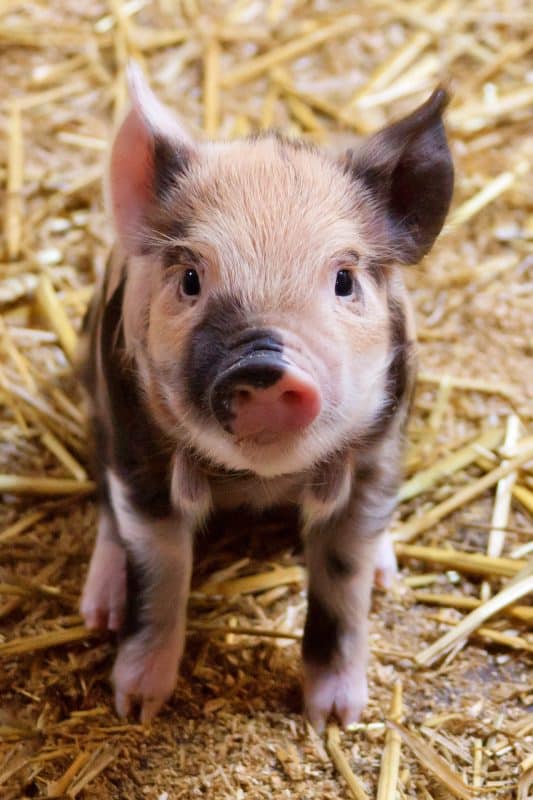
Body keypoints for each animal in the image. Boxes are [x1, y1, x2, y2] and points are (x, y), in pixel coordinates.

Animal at [79, 65, 453, 729]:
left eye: (344, 281)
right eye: (191, 279)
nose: (263, 366)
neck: (260, 481)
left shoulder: (379, 453)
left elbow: (344, 578)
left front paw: (336, 718)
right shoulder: (136, 447)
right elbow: (160, 570)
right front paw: (136, 707)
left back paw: (389, 577)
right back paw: (98, 611)